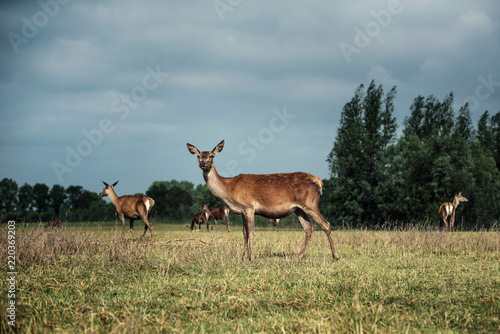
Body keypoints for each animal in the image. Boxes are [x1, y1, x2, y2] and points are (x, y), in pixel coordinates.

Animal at [188, 140, 340, 262]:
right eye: (198, 156)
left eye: (212, 156)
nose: (203, 163)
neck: (229, 189)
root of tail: (319, 181)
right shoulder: (242, 211)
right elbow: (244, 233)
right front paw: (243, 257)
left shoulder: (249, 207)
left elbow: (251, 232)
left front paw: (252, 257)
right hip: (299, 209)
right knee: (309, 228)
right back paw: (298, 256)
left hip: (311, 204)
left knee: (325, 224)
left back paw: (335, 256)